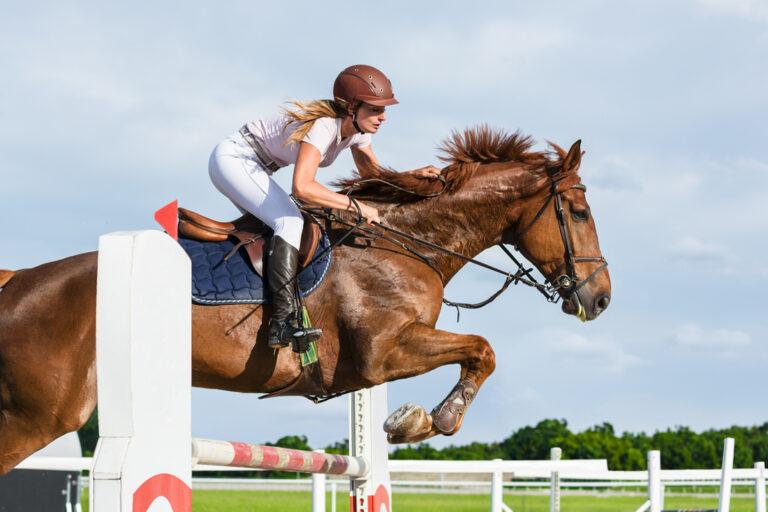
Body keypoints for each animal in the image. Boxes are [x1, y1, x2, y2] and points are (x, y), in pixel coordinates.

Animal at [0, 126, 611, 474]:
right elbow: (482, 348)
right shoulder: (382, 355)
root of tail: (17, 281)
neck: (406, 244)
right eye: (580, 212)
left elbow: (479, 350)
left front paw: (410, 421)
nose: (602, 298)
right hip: (41, 415)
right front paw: (425, 420)